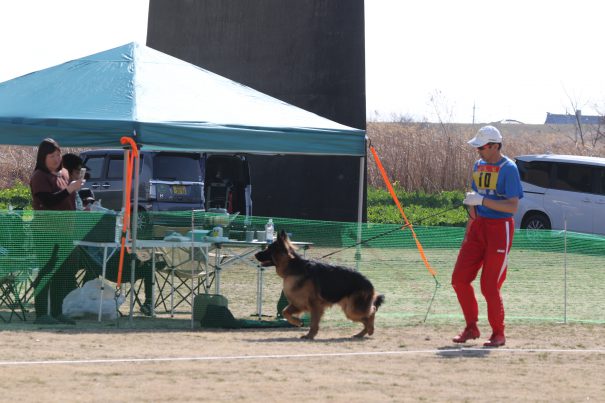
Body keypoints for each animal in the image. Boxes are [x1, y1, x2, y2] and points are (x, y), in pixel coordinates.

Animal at [255, 230, 385, 339]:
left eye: (268, 249)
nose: (255, 254)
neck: (293, 268)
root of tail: (368, 282)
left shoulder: (315, 305)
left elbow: (313, 323)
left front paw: (309, 335)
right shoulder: (298, 303)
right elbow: (285, 312)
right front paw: (298, 322)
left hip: (353, 310)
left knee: (371, 312)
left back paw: (369, 330)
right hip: (350, 311)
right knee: (367, 318)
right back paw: (361, 333)